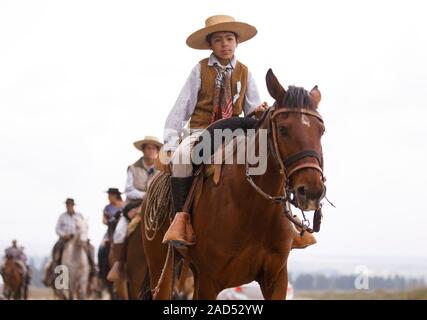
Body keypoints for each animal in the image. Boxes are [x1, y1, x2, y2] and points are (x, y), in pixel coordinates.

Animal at [144, 69, 328, 300]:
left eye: (321, 130)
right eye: (283, 129)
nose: (312, 190)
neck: (253, 209)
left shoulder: (276, 278)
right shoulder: (209, 280)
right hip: (161, 266)